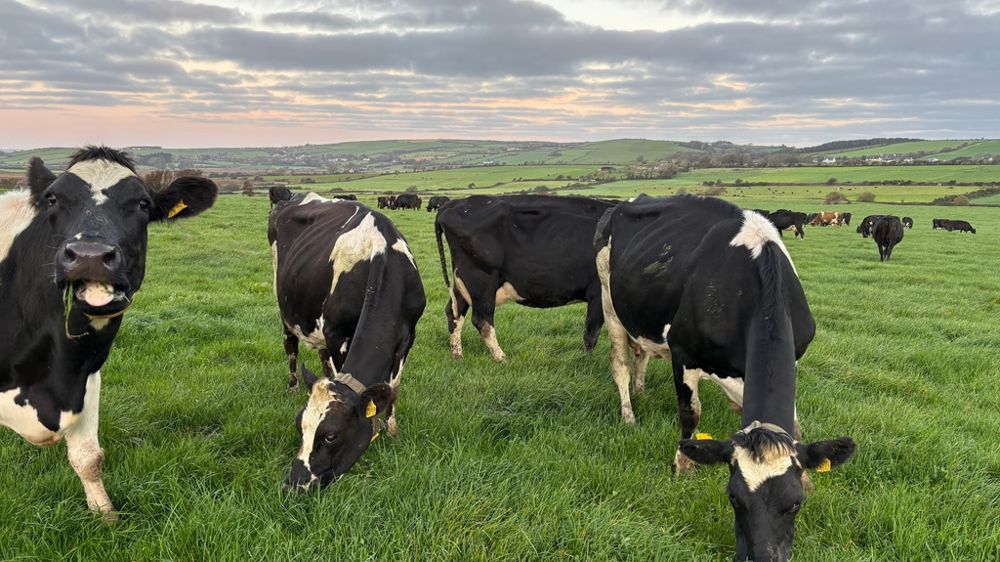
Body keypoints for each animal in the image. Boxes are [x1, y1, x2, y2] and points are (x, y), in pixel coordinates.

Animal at [0, 146, 217, 515]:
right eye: (53, 198)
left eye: (143, 204)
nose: (89, 256)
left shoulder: (87, 376)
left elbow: (89, 458)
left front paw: (105, 515)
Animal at [268, 191, 425, 491]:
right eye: (299, 425)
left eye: (331, 436)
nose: (294, 485)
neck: (381, 260)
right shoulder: (336, 333)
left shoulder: (408, 336)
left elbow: (393, 388)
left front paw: (391, 430)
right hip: (286, 311)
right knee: (291, 349)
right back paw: (293, 386)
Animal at [435, 195, 614, 361]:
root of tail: (455, 202)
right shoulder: (598, 294)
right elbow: (591, 334)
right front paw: (586, 362)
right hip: (481, 278)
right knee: (481, 319)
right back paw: (501, 358)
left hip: (463, 280)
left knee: (454, 312)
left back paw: (458, 354)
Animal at [595, 195, 854, 562]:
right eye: (733, 497)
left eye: (795, 503)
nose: (761, 557)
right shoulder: (683, 354)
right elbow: (691, 414)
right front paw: (683, 468)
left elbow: (794, 424)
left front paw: (809, 480)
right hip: (609, 301)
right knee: (620, 363)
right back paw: (629, 414)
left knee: (642, 353)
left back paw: (641, 390)